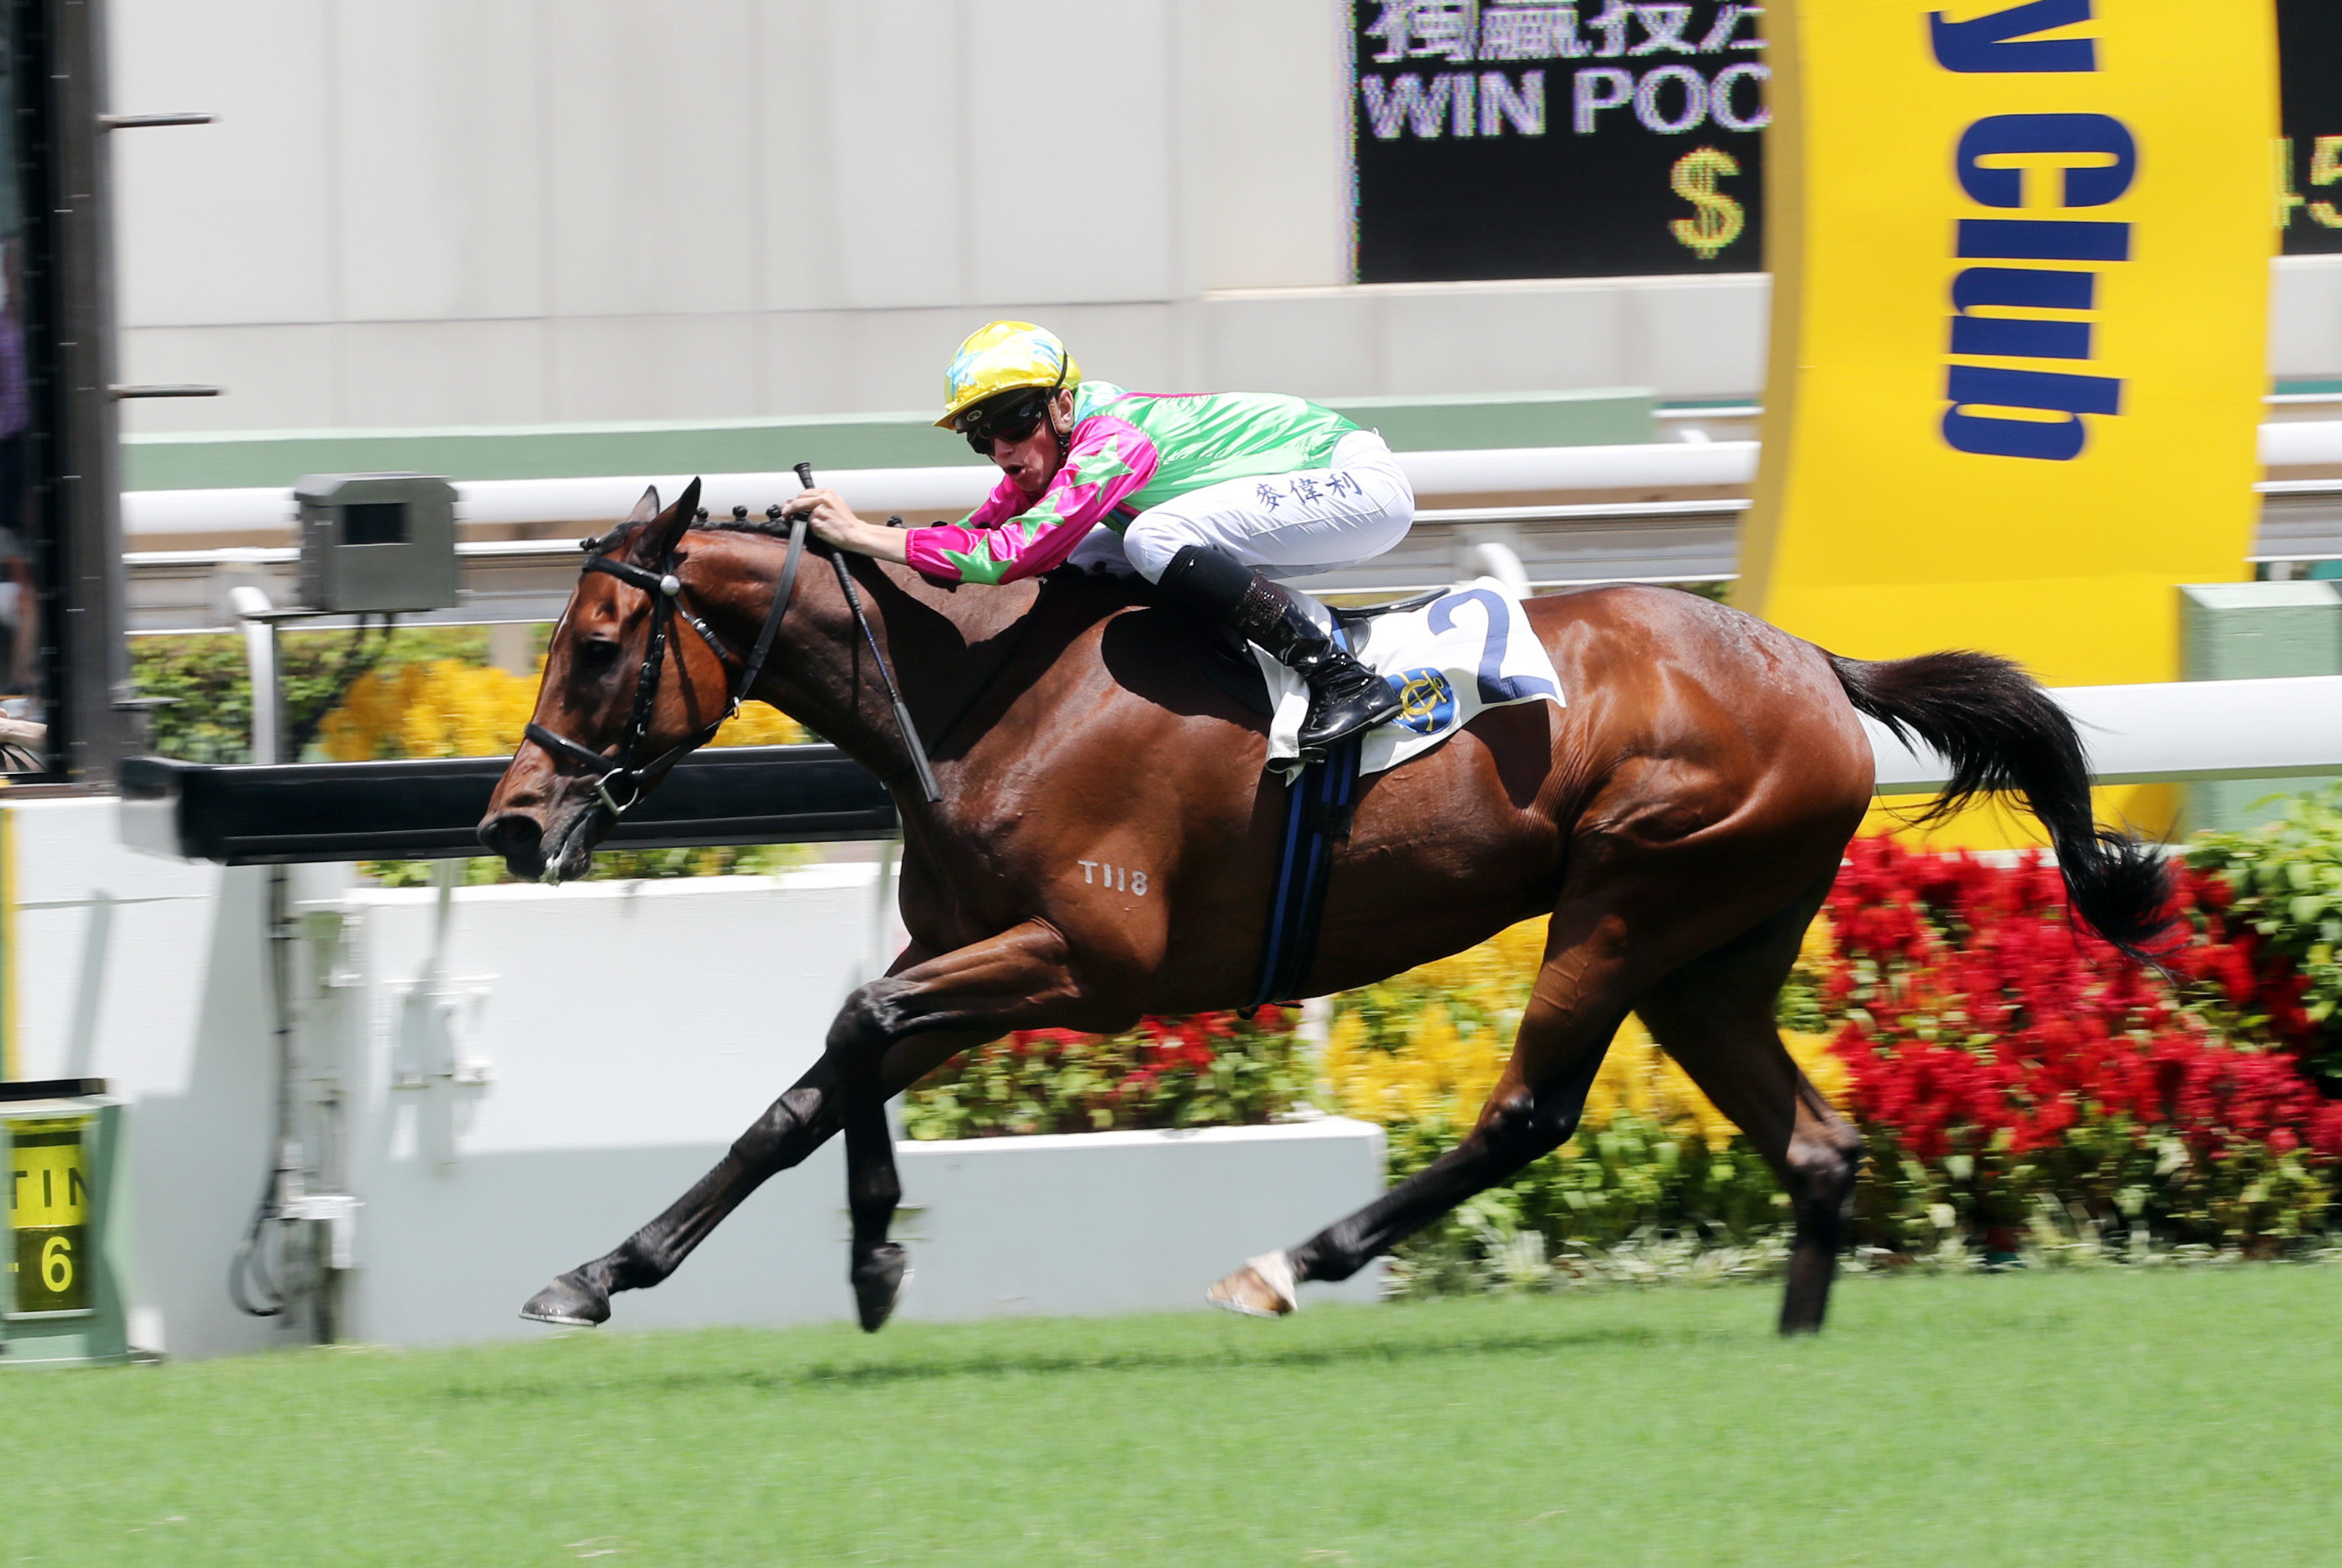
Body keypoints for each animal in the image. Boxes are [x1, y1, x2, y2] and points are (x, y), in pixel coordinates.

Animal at [478, 478, 2169, 1336]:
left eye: (602, 640)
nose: (507, 821)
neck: (975, 691)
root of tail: (1813, 661)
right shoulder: (978, 947)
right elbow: (818, 1079)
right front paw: (614, 1271)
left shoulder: (1085, 959)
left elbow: (853, 1027)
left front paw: (868, 1258)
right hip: (1716, 948)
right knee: (1815, 1143)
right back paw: (1792, 1343)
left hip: (1631, 890)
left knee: (1527, 1110)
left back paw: (1294, 1258)